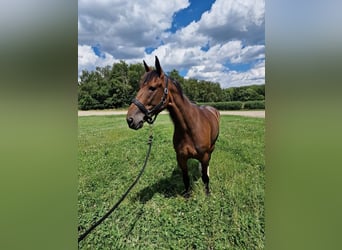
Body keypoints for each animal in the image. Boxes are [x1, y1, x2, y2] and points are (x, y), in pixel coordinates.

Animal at [125, 56, 219, 197]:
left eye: (152, 88)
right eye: (140, 87)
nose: (130, 120)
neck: (190, 129)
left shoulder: (205, 156)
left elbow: (205, 178)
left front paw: (207, 194)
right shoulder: (181, 158)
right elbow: (185, 178)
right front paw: (187, 196)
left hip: (211, 148)